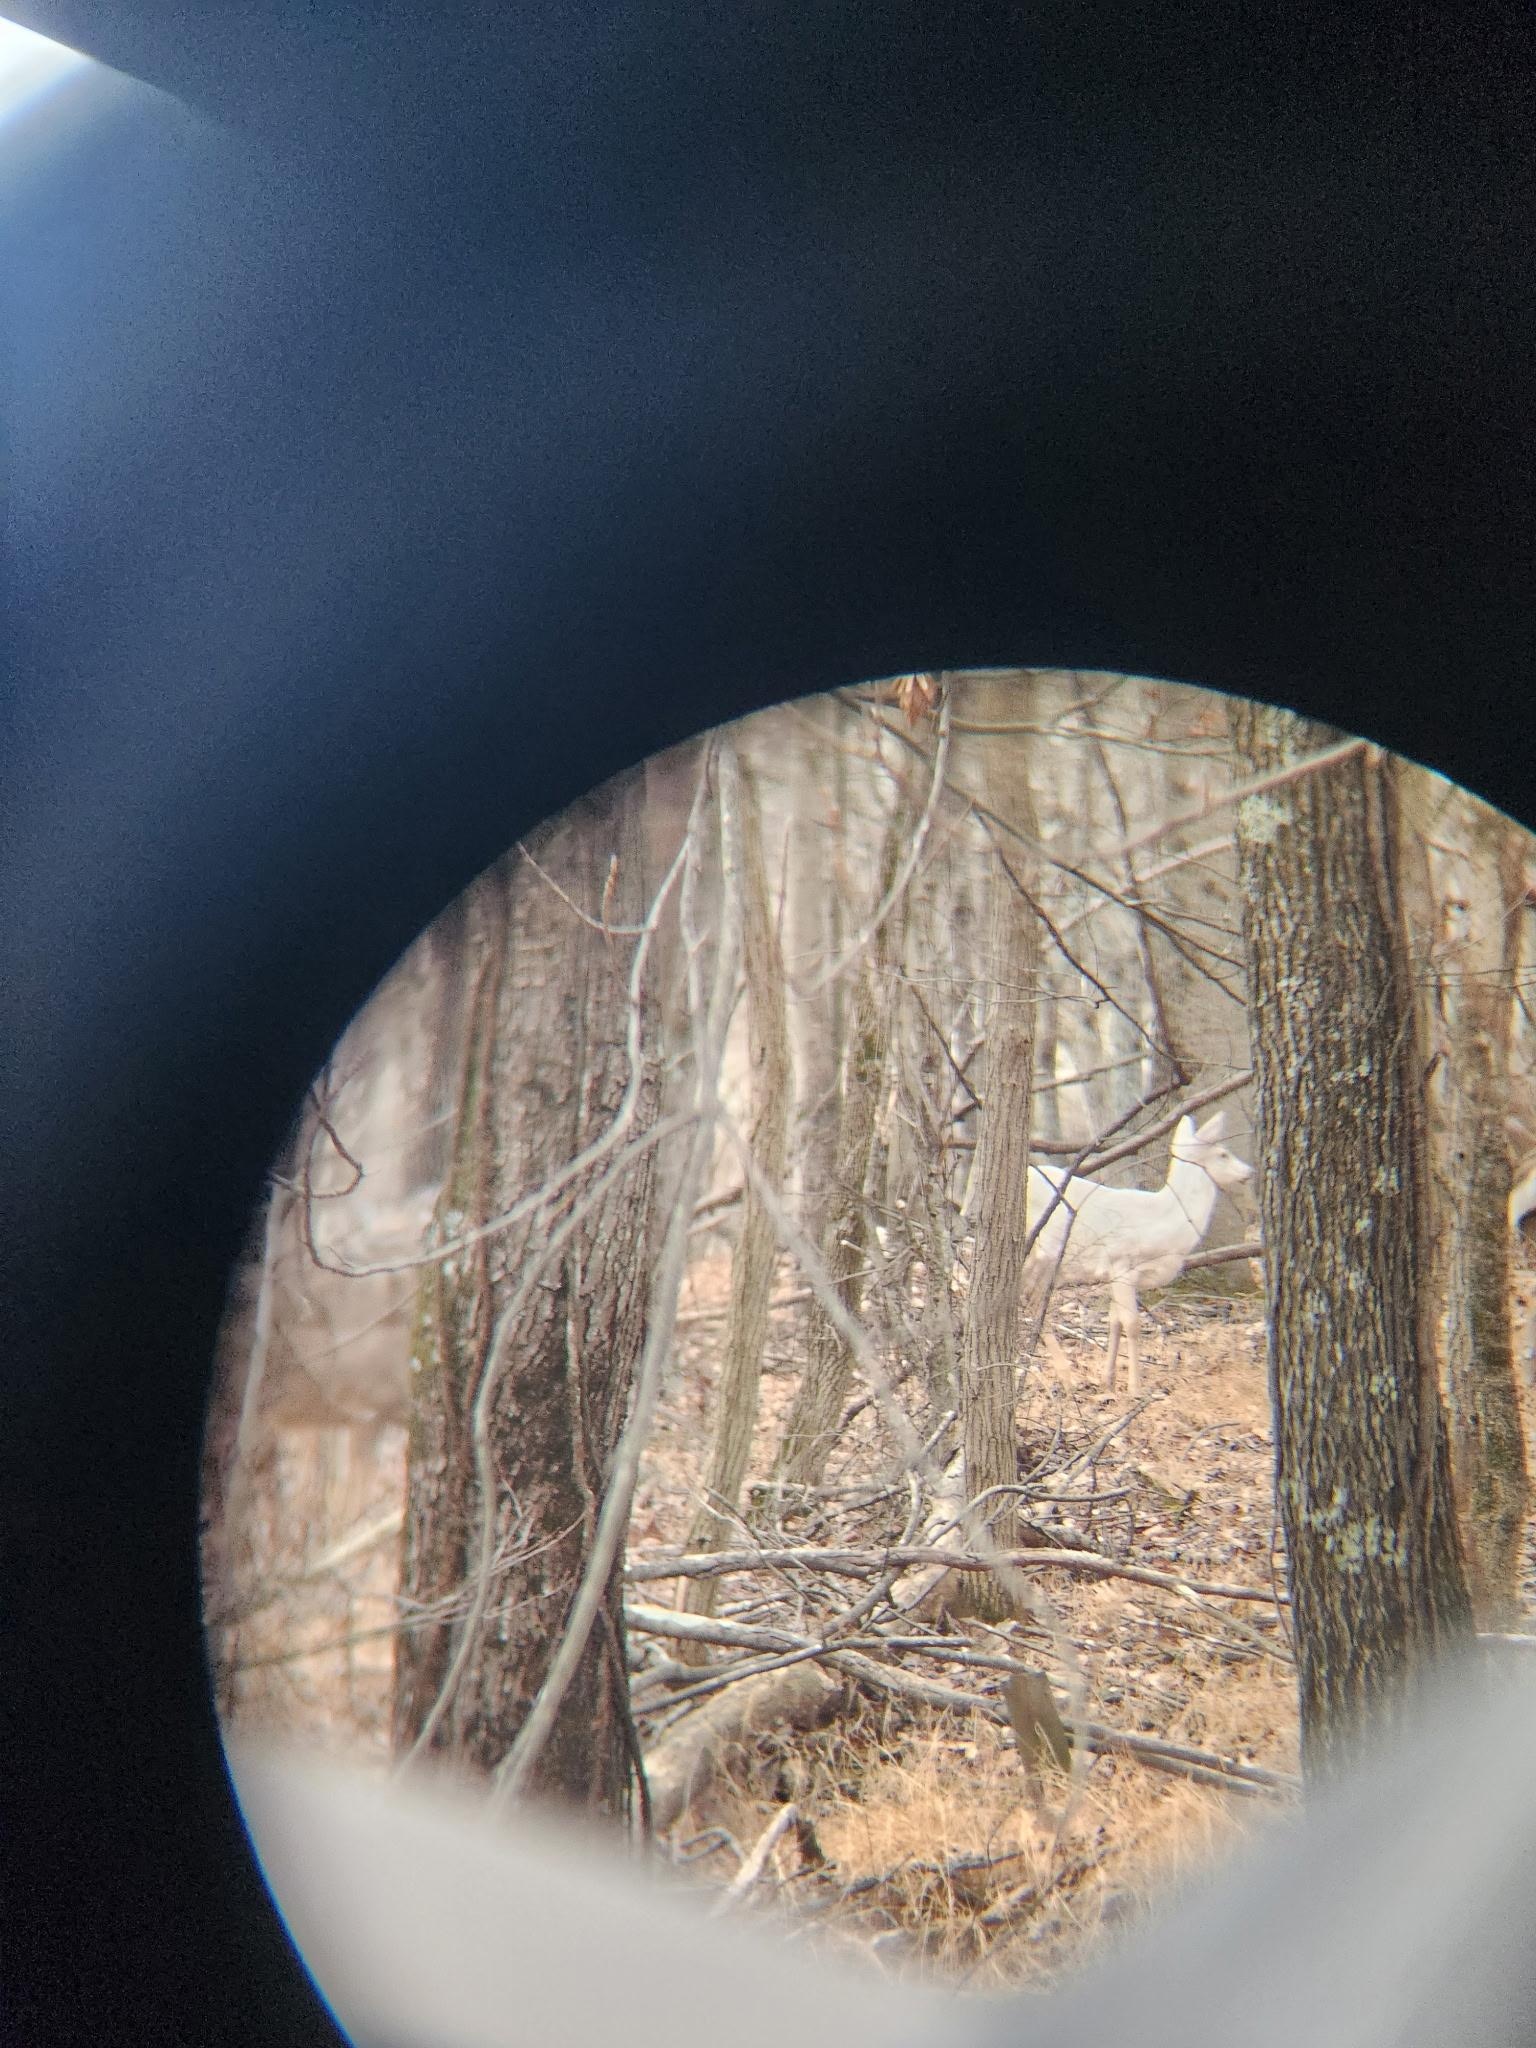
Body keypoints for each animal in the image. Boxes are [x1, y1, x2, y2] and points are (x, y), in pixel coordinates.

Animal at [1025, 1108, 1254, 1396]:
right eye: (1223, 1154)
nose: (1250, 1171)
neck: (1166, 1221)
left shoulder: (1114, 1274)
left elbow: (1114, 1321)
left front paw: (1108, 1381)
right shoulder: (1122, 1262)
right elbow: (1132, 1323)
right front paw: (1135, 1387)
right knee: (1032, 1303)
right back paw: (1067, 1378)